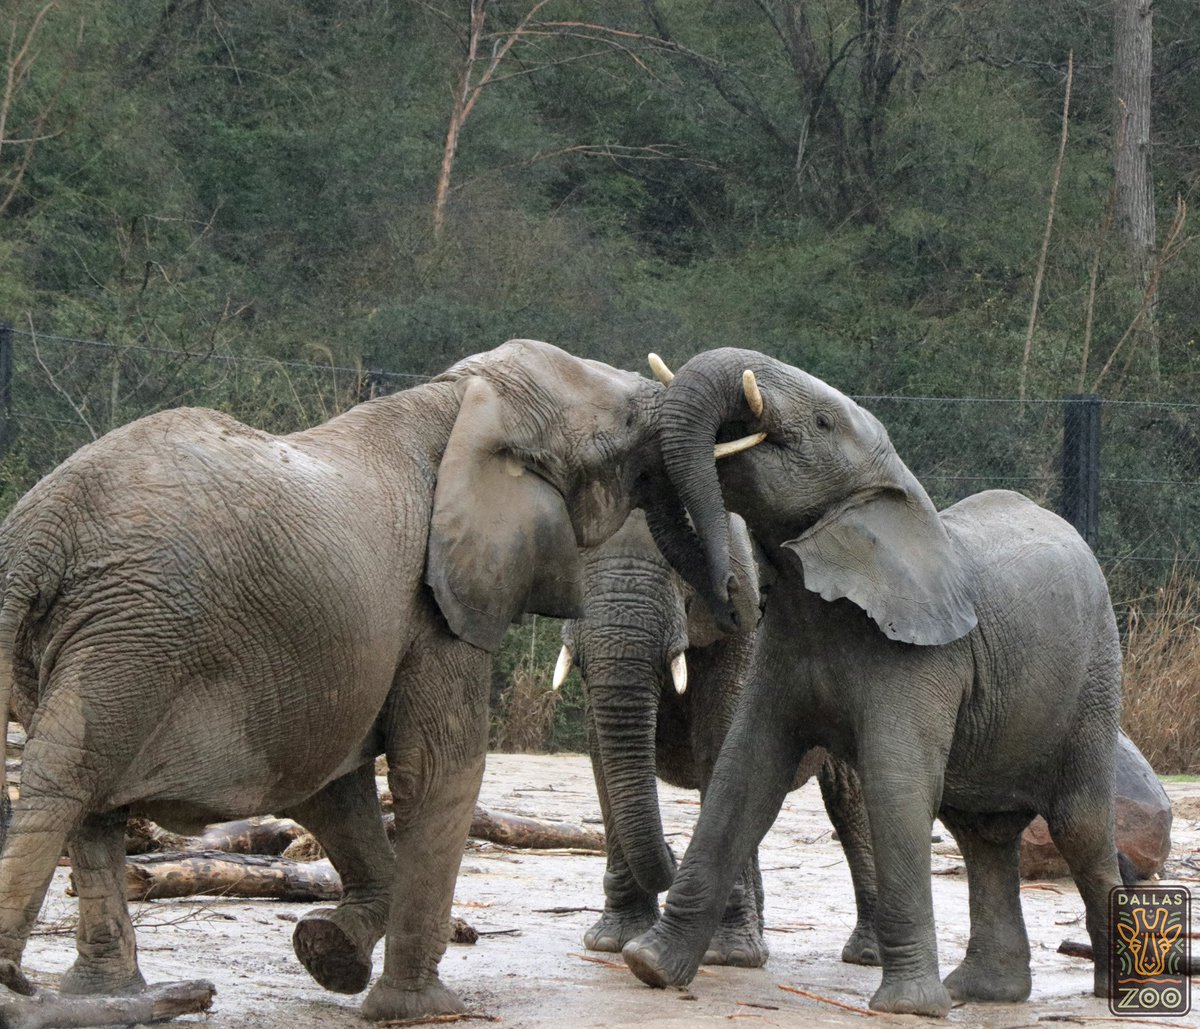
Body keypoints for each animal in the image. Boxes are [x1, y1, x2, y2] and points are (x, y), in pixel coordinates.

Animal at [0, 338, 703, 1022]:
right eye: (627, 433)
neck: (461, 398)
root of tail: (38, 532)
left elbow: (332, 785)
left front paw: (329, 953)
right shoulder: (435, 606)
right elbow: (438, 768)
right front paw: (418, 1011)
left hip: (94, 636)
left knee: (93, 807)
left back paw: (102, 996)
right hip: (134, 632)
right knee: (65, 786)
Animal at [557, 508, 880, 968]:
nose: (673, 854)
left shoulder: (745, 619)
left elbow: (720, 742)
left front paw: (727, 956)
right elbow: (601, 751)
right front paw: (611, 943)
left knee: (850, 799)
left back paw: (866, 955)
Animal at [623, 348, 1122, 1017]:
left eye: (824, 421)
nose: (728, 600)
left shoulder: (923, 660)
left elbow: (896, 783)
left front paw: (907, 1008)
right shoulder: (785, 647)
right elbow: (742, 774)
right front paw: (648, 967)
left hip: (1094, 674)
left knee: (1079, 826)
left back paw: (1121, 991)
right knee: (982, 833)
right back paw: (983, 994)